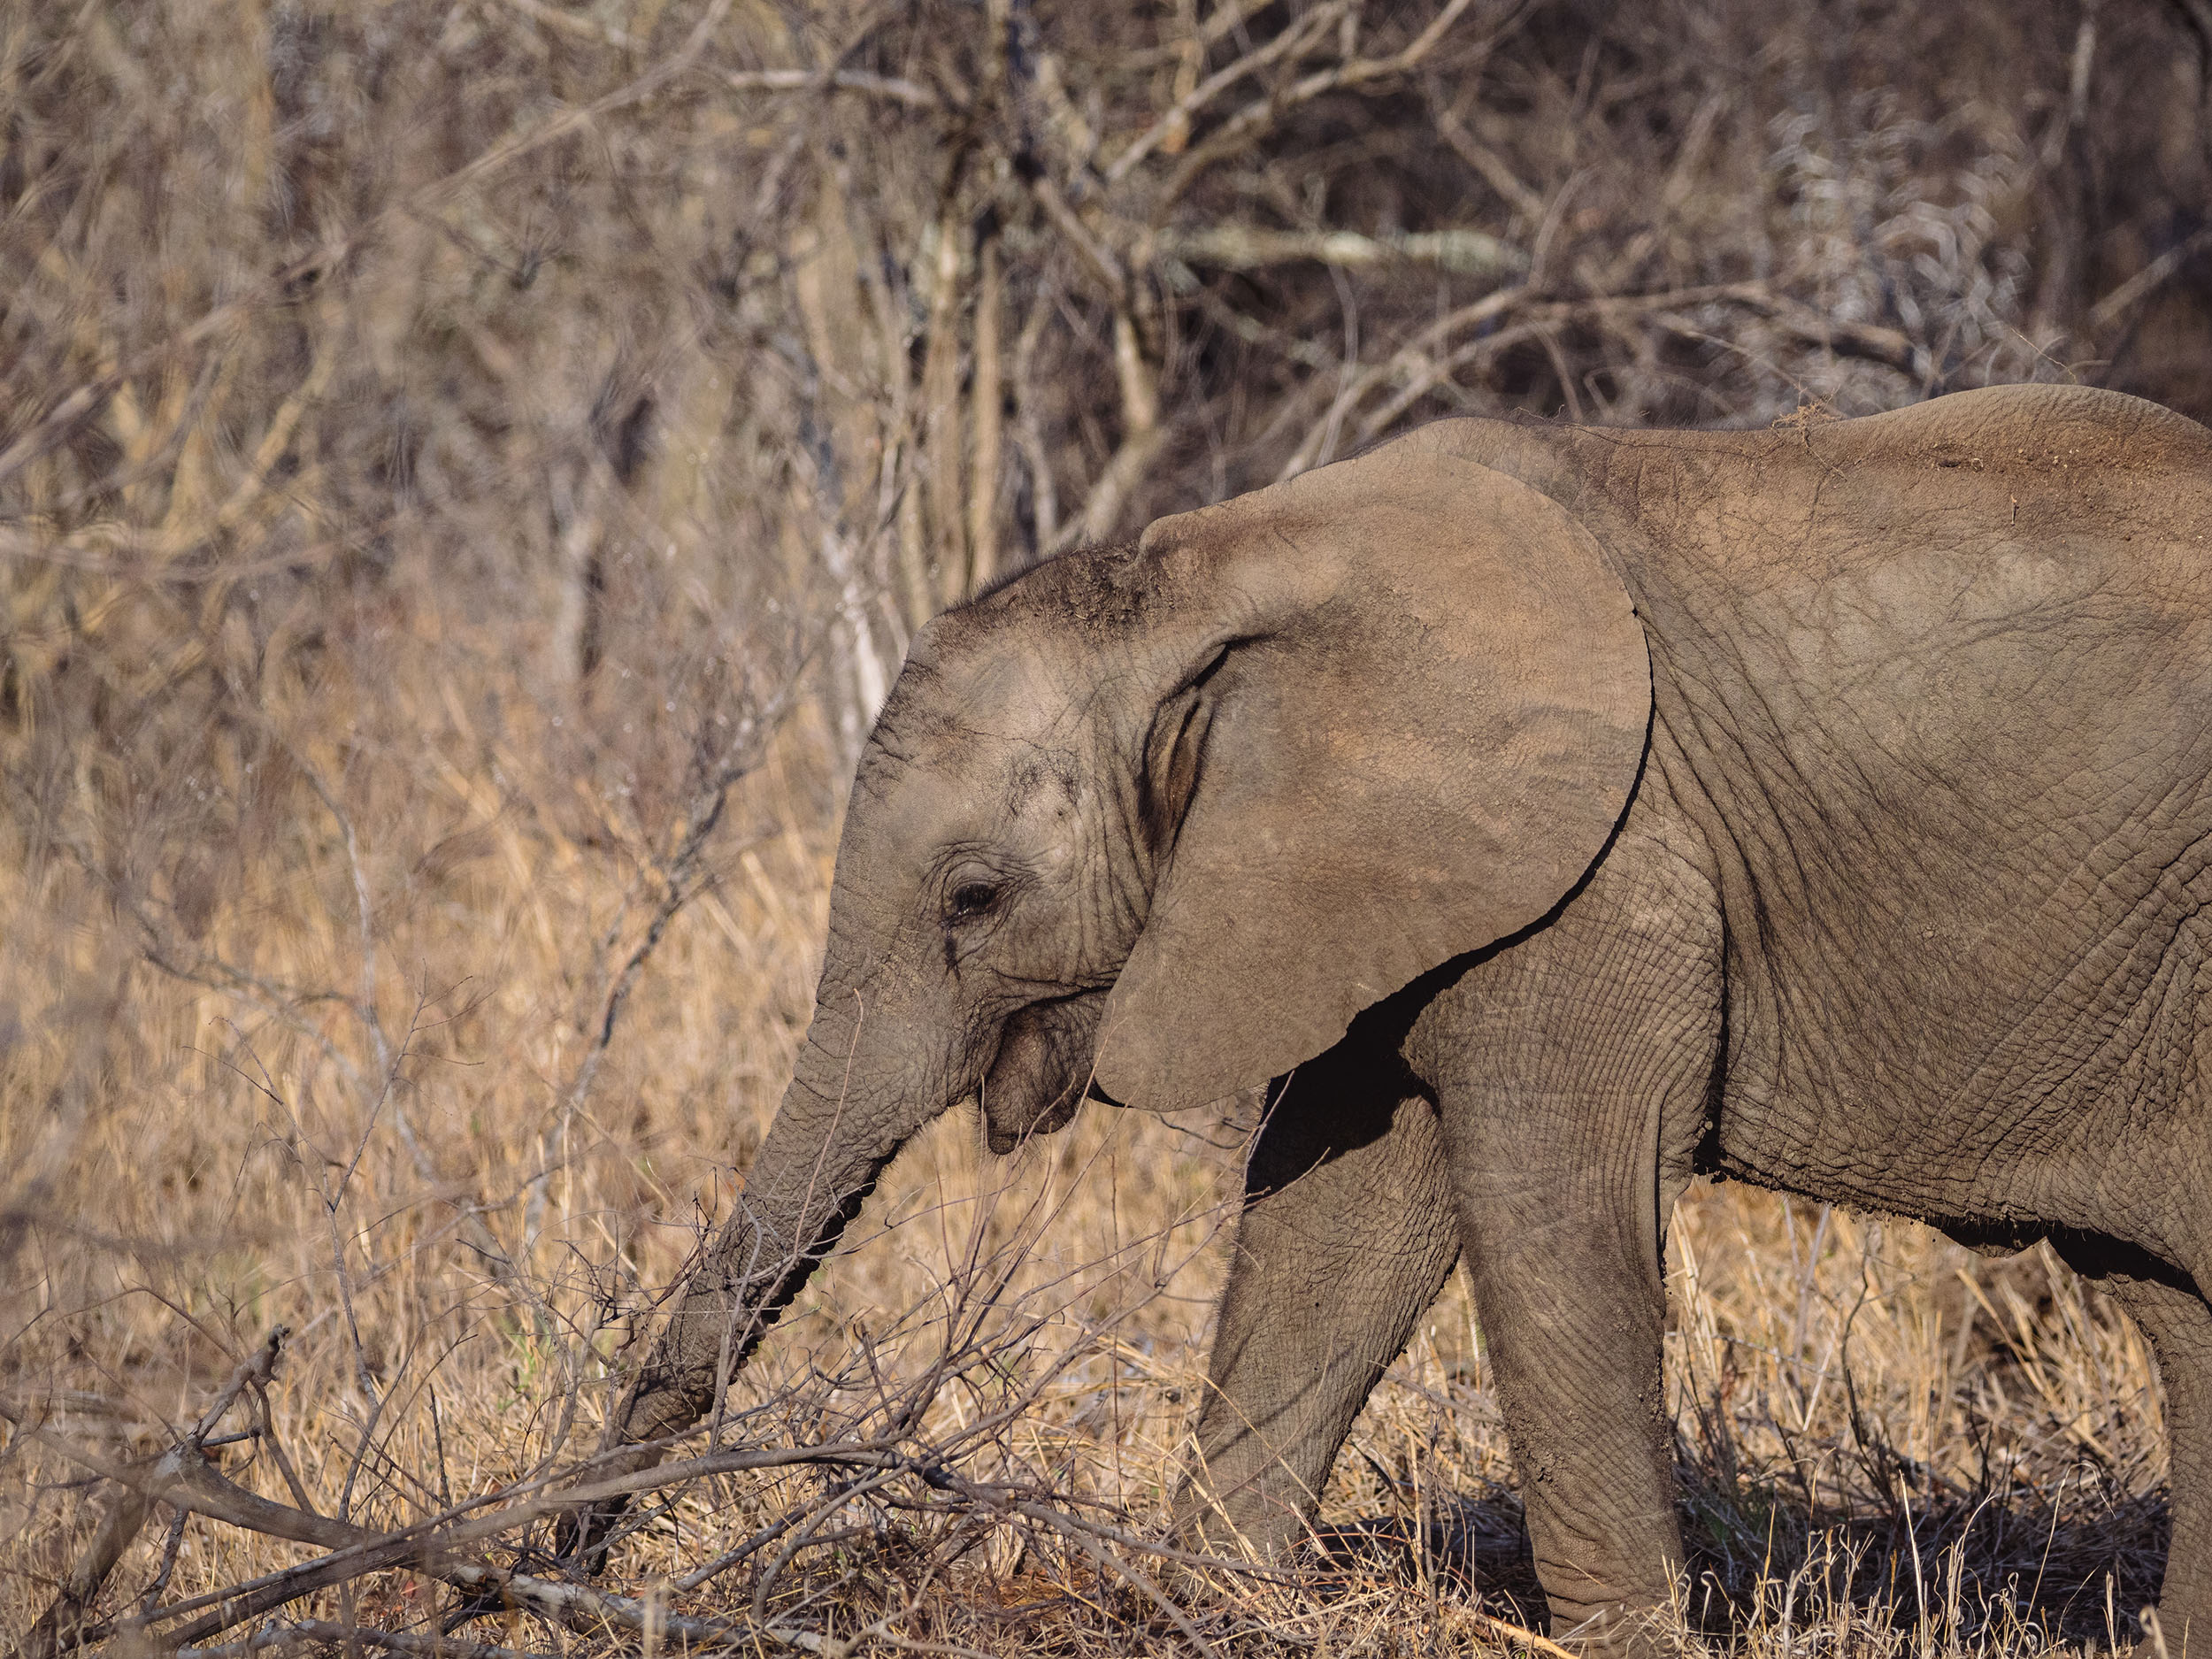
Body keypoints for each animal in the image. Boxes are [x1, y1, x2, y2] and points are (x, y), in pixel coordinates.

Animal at [570, 382, 2212, 1647]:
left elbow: (1546, 1216)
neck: (1205, 575)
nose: (549, 1575)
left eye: (972, 899)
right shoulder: (1384, 883)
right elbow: (1340, 1218)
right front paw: (1209, 1603)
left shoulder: (1602, 875)